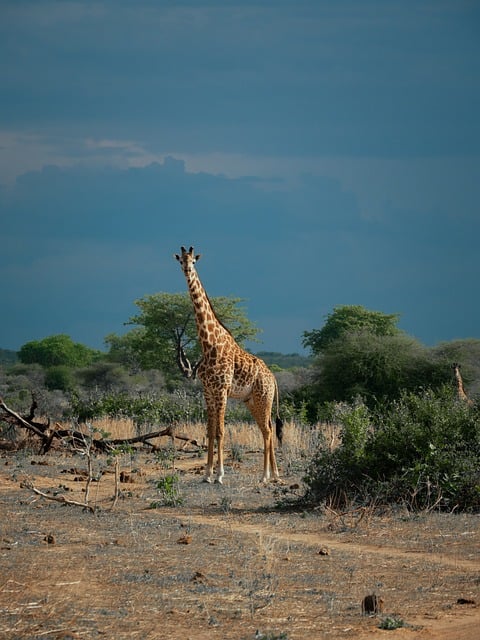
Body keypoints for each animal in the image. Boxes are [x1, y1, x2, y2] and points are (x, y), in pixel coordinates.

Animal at [175, 246, 282, 484]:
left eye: (194, 261)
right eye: (181, 261)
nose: (187, 270)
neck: (208, 344)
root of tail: (273, 378)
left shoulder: (222, 390)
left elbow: (221, 431)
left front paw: (220, 475)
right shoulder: (207, 390)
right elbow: (210, 431)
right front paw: (207, 474)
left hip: (264, 398)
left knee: (268, 431)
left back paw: (265, 476)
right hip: (252, 401)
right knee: (268, 429)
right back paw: (274, 474)